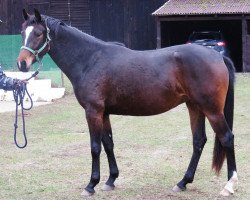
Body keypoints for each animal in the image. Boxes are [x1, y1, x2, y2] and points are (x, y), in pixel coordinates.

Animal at [17, 9, 238, 197]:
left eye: (38, 33)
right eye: (22, 32)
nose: (22, 64)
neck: (89, 59)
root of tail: (216, 56)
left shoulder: (92, 111)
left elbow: (95, 147)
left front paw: (91, 185)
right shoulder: (104, 113)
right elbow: (108, 144)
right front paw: (110, 180)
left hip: (212, 110)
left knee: (226, 138)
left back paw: (229, 186)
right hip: (195, 107)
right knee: (198, 141)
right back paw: (183, 182)